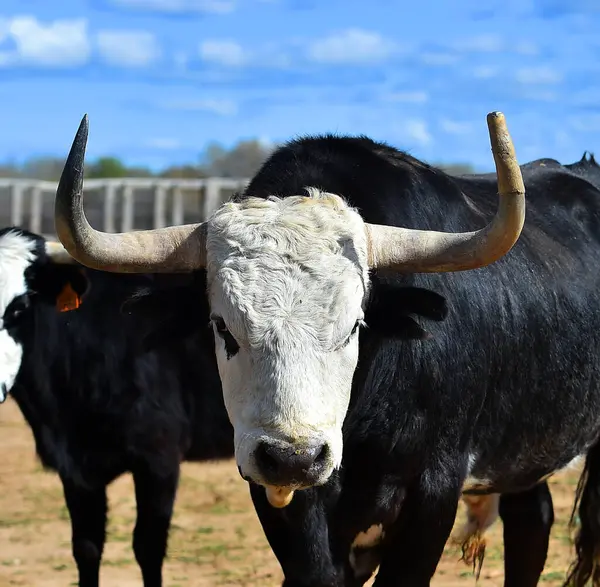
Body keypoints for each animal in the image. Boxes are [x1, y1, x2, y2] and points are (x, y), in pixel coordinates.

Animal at [50, 111, 600, 587]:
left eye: (354, 326)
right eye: (222, 327)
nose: (294, 457)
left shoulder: (434, 489)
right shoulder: (283, 497)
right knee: (532, 522)